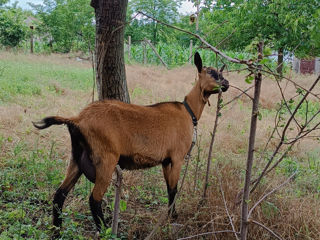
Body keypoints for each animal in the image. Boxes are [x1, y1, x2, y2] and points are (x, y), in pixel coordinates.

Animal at [32, 52, 229, 232]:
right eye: (211, 72)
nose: (226, 83)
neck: (188, 112)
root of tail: (77, 120)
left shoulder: (165, 161)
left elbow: (168, 189)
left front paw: (170, 217)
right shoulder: (177, 157)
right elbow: (174, 190)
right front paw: (173, 219)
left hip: (77, 158)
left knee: (59, 194)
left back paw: (57, 230)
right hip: (106, 159)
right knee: (94, 199)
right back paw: (106, 231)